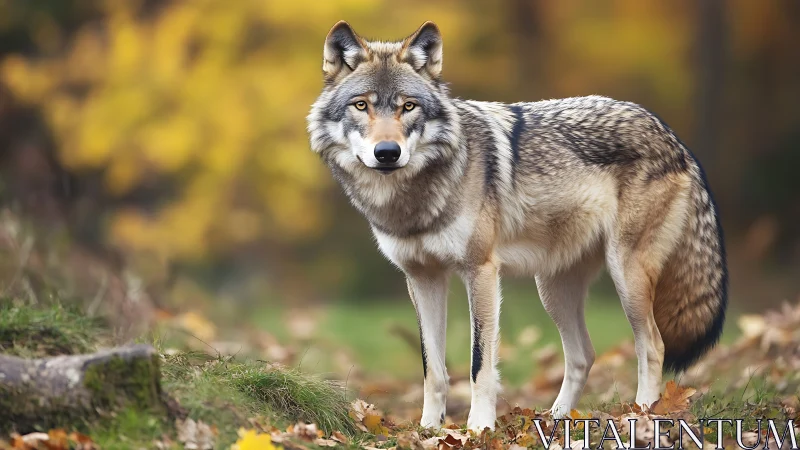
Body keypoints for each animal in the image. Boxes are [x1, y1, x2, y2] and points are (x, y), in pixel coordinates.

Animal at [307, 21, 727, 431]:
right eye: (361, 105)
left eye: (408, 106)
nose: (387, 153)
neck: (412, 200)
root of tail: (674, 138)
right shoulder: (422, 278)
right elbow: (433, 369)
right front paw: (428, 429)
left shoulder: (481, 271)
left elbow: (479, 364)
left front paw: (478, 428)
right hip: (553, 289)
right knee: (583, 355)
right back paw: (556, 420)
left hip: (626, 275)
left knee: (652, 345)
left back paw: (641, 418)